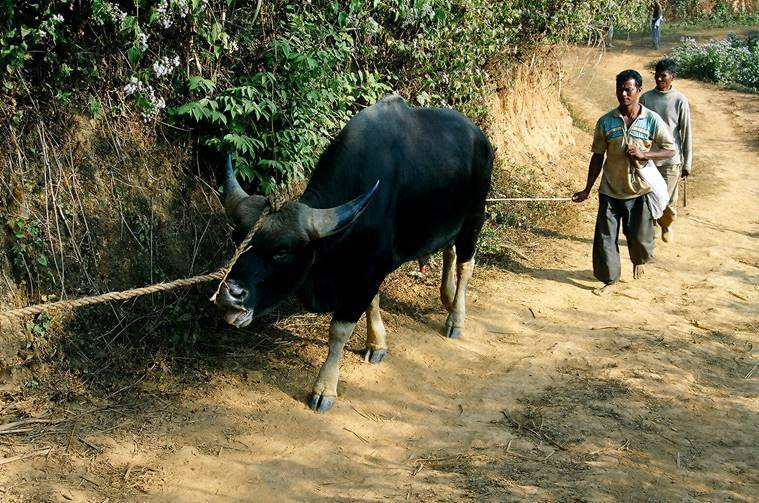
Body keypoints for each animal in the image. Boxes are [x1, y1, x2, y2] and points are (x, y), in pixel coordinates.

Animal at [217, 94, 496, 414]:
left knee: (465, 264)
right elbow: (372, 303)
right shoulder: (367, 269)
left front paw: (324, 389)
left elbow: (339, 330)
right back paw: (447, 298)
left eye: (282, 251)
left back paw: (455, 318)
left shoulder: (369, 271)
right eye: (238, 238)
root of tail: (481, 139)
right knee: (449, 251)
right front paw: (377, 344)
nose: (229, 293)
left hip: (475, 217)